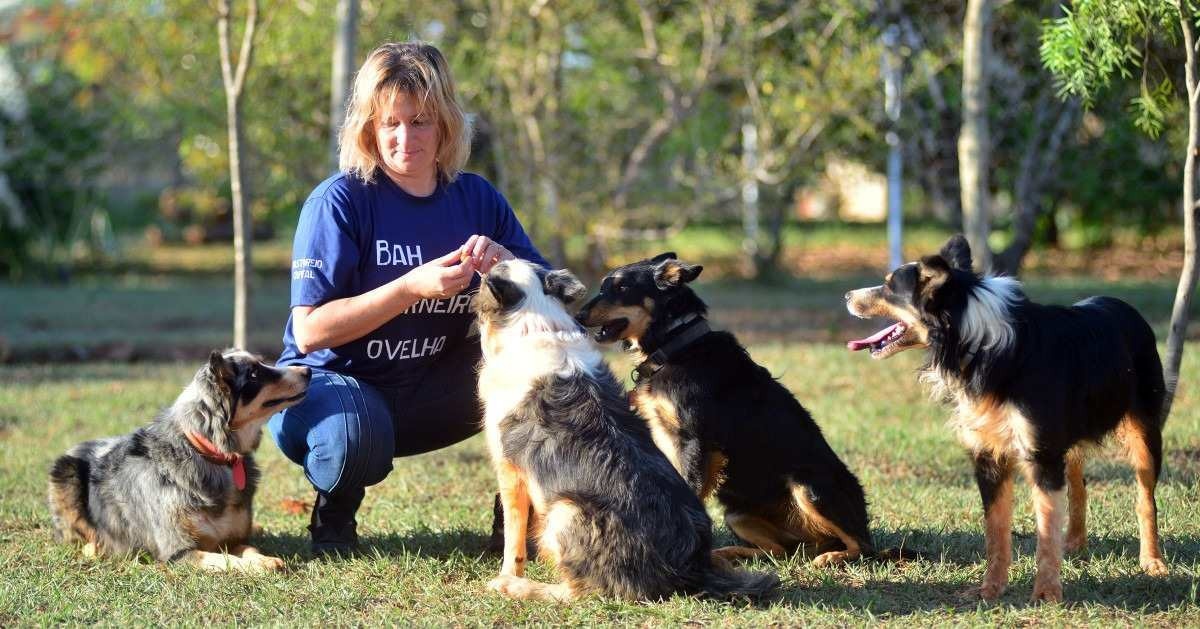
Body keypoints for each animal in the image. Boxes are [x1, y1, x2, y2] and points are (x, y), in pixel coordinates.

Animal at [47, 350, 312, 571]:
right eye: (255, 373)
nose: (308, 371)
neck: (212, 454)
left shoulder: (234, 540)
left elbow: (249, 548)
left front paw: (264, 560)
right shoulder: (178, 551)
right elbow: (223, 558)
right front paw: (255, 566)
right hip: (65, 472)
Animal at [472, 258, 772, 602]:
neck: (535, 324)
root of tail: (688, 569)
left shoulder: (510, 470)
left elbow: (514, 538)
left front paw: (508, 574)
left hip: (564, 511)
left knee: (582, 590)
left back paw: (517, 586)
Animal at [571, 253, 873, 566]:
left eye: (621, 288)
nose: (578, 316)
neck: (676, 348)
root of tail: (813, 542)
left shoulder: (695, 441)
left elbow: (690, 491)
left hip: (808, 486)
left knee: (863, 545)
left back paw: (832, 556)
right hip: (737, 513)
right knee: (779, 551)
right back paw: (730, 553)